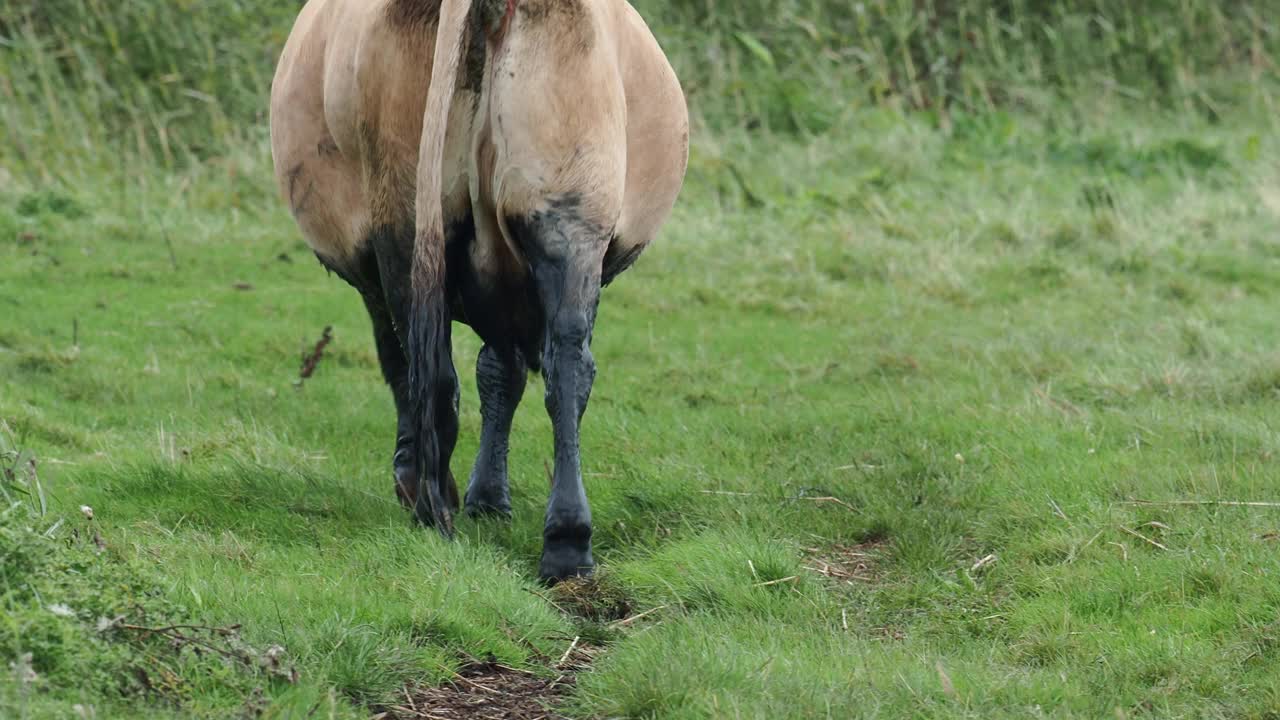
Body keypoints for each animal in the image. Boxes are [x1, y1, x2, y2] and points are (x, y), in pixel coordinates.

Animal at [271, 0, 691, 576]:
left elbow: (439, 366)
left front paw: (475, 496)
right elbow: (498, 373)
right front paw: (488, 499)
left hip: (405, 216)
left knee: (430, 368)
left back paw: (431, 501)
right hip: (569, 208)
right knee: (566, 365)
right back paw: (566, 542)